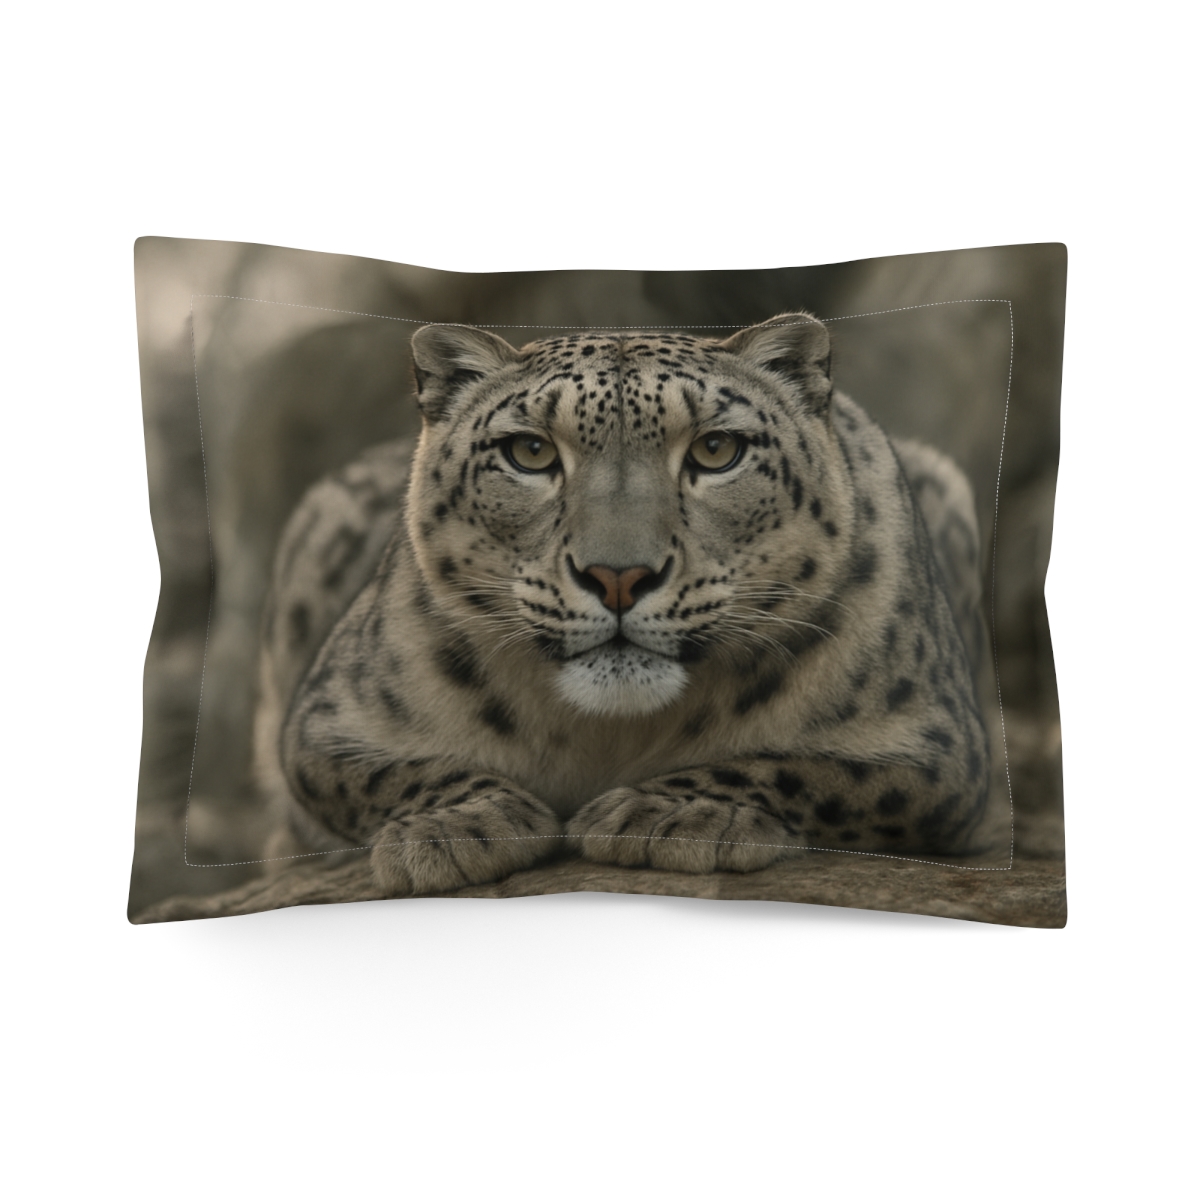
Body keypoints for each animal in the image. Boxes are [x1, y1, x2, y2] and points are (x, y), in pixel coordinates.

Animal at [253, 312, 994, 897]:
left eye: (716, 449)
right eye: (529, 451)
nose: (617, 576)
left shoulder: (935, 747)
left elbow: (819, 770)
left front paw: (672, 815)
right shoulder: (325, 721)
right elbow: (380, 772)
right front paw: (457, 827)